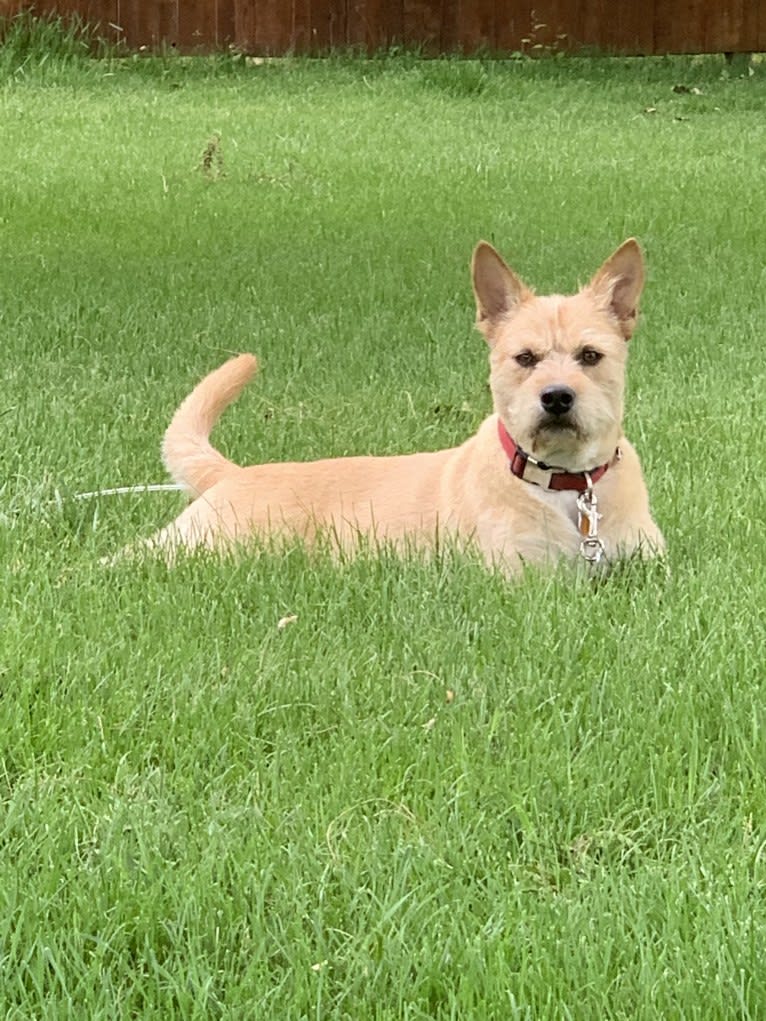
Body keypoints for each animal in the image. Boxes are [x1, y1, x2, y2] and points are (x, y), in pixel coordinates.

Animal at [134, 240, 661, 575]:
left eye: (590, 356)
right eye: (525, 358)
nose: (556, 397)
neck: (570, 488)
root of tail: (233, 475)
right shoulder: (521, 576)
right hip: (199, 546)